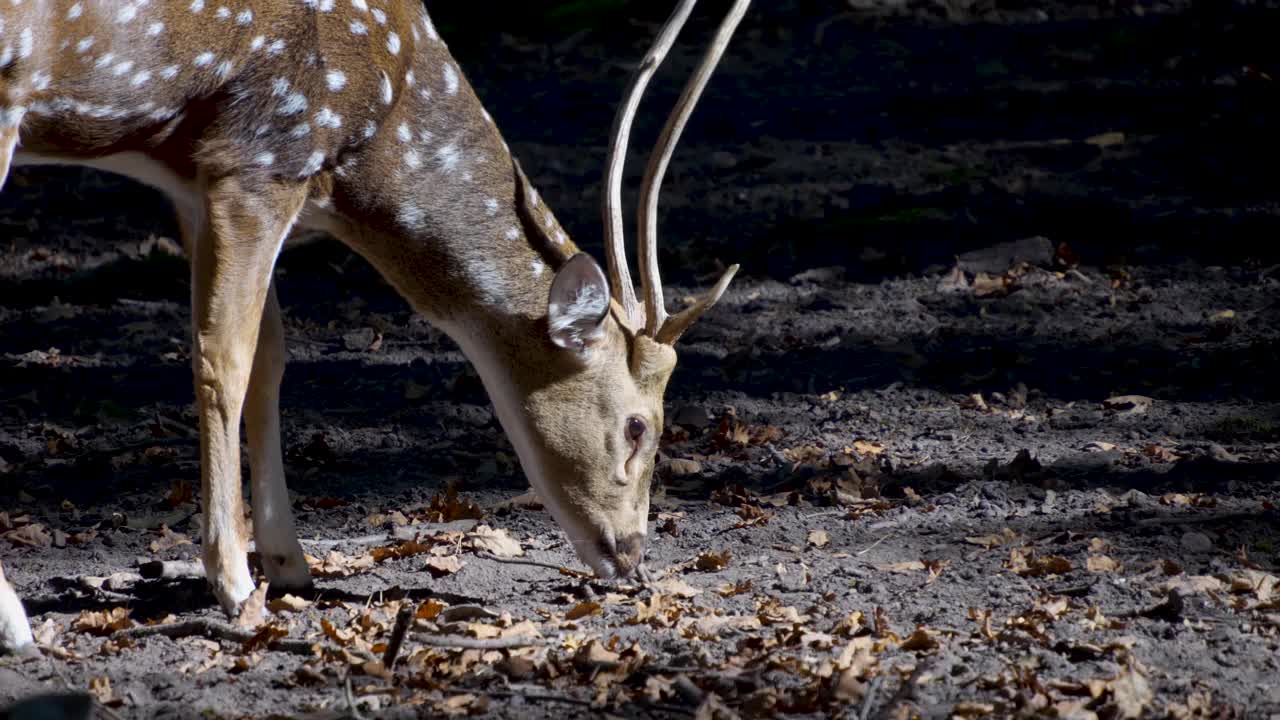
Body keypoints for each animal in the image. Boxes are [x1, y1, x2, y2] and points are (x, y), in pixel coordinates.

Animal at [0, 0, 747, 650]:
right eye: (637, 425)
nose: (631, 557)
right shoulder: (262, 156)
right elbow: (225, 359)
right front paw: (236, 584)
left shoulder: (190, 181)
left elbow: (271, 358)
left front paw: (290, 563)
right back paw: (17, 622)